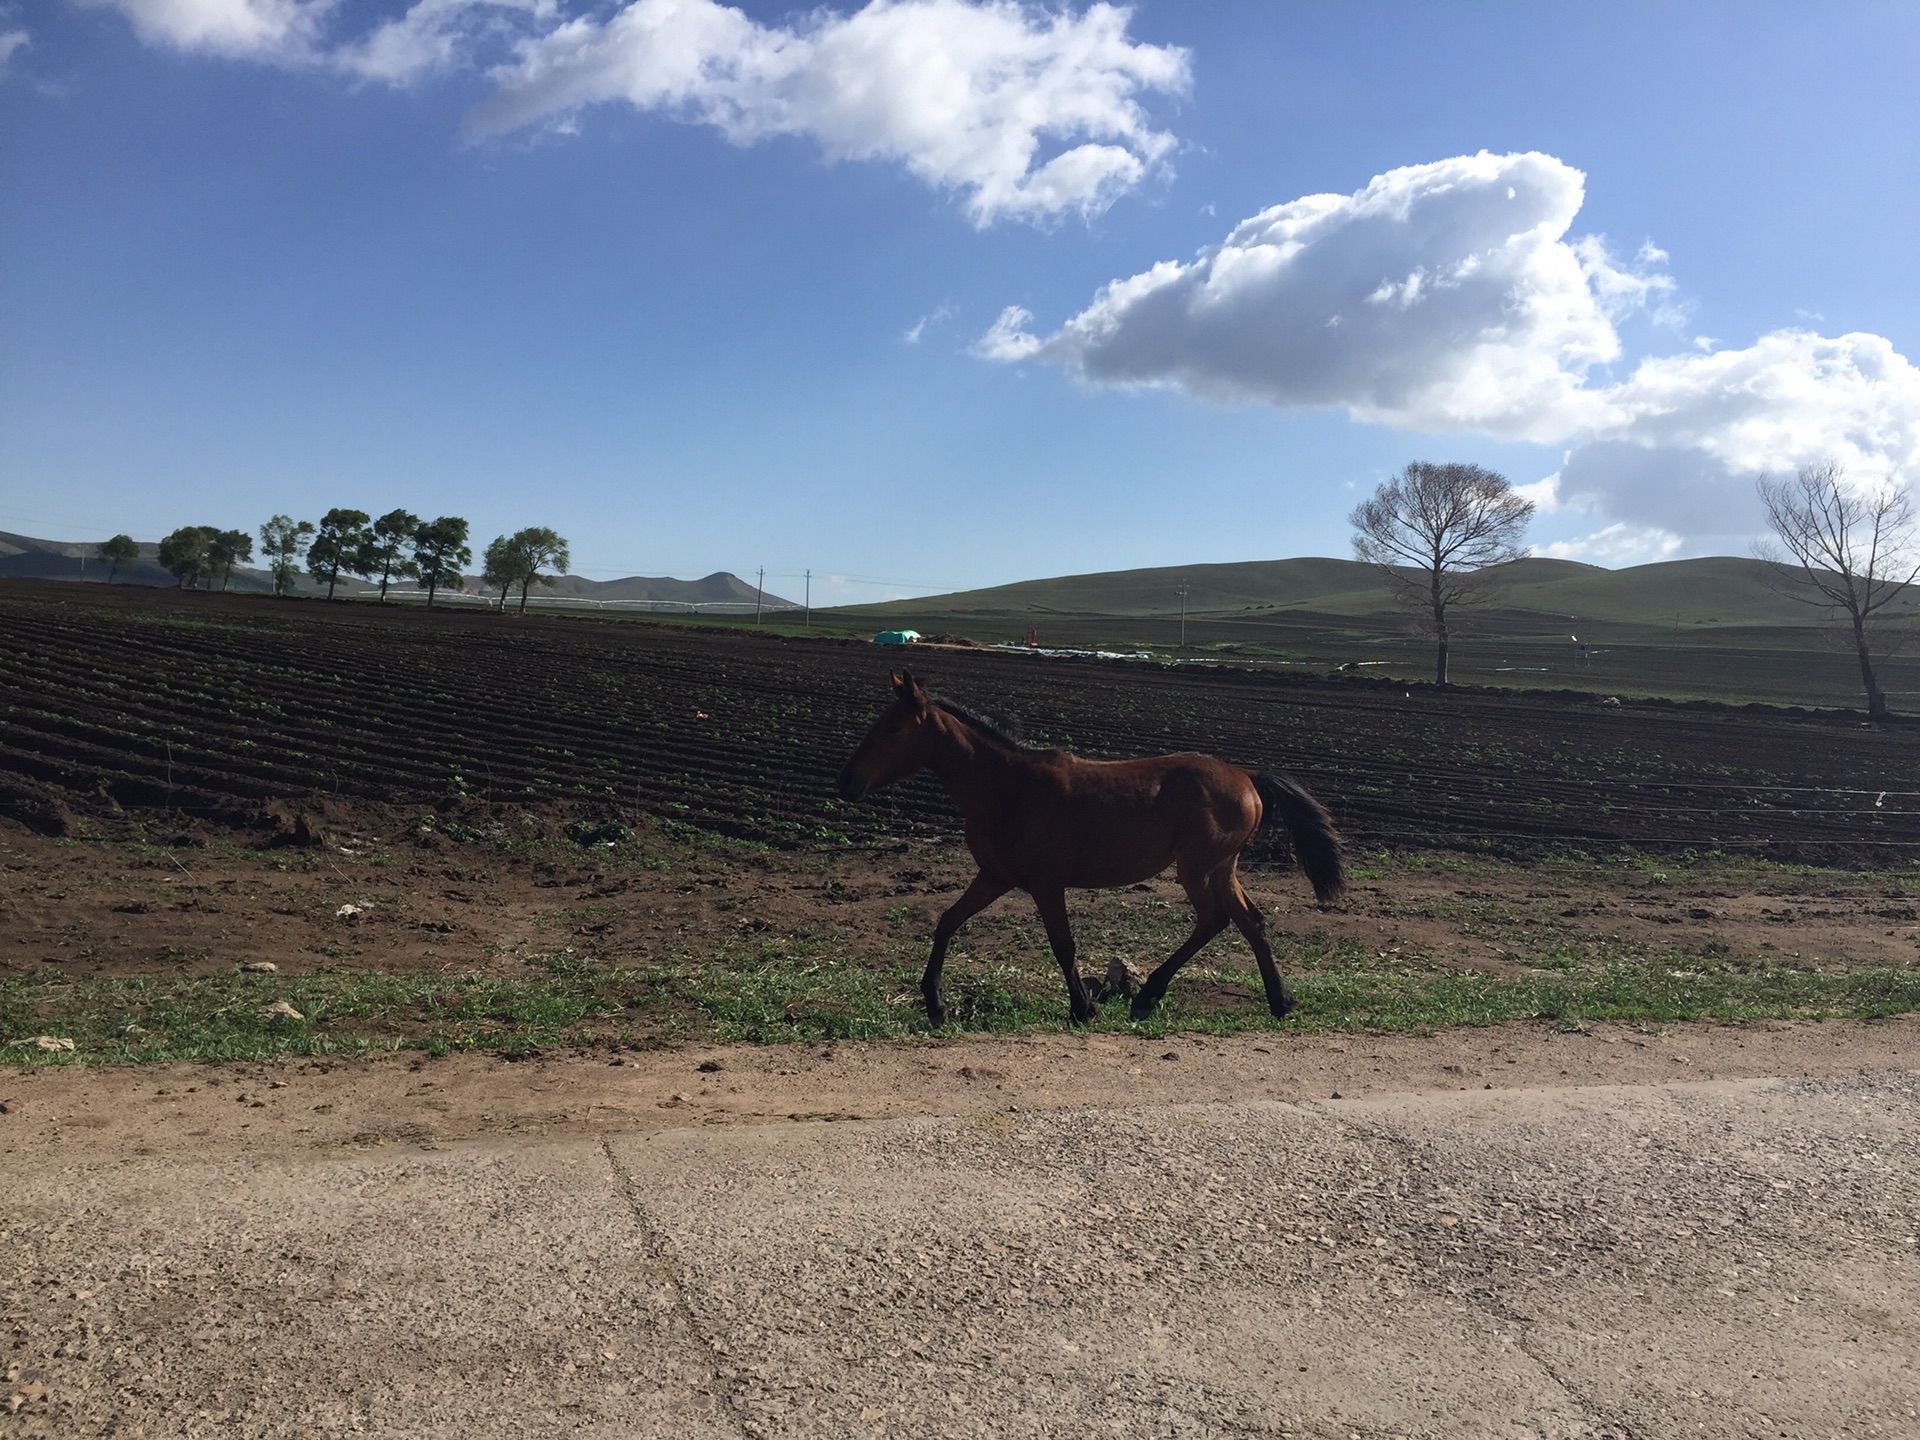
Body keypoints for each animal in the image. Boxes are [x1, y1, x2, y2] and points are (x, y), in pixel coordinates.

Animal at [833, 675, 1344, 1029]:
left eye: (893, 728)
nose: (846, 780)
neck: (1008, 788)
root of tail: (1248, 777)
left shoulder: (1045, 883)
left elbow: (1063, 944)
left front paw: (1082, 1007)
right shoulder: (994, 877)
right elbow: (946, 923)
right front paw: (934, 1004)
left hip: (1196, 868)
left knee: (1214, 919)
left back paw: (1149, 995)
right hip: (1222, 867)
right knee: (1249, 921)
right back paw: (1278, 1001)